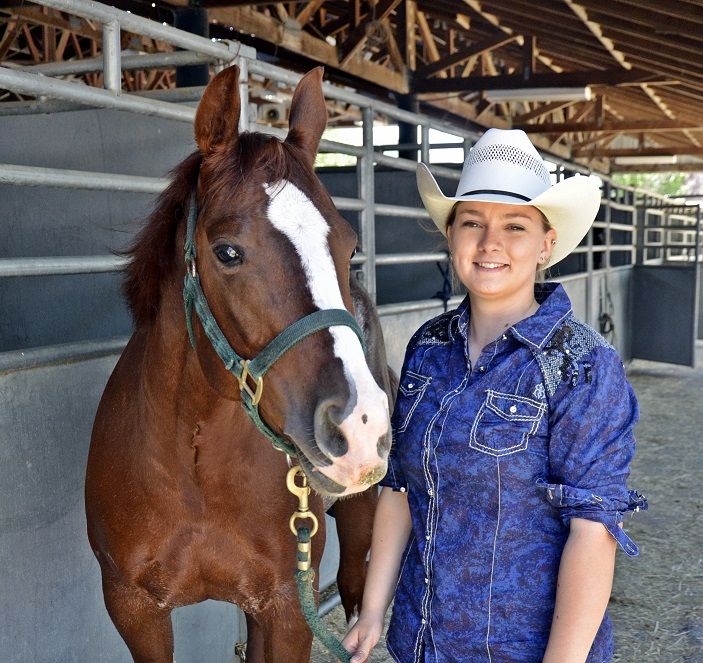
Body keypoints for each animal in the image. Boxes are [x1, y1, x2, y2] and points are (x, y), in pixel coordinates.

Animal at [85, 65, 395, 663]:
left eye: (348, 247)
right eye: (227, 251)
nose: (361, 425)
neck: (195, 469)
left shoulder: (287, 607)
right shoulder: (133, 609)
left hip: (360, 515)